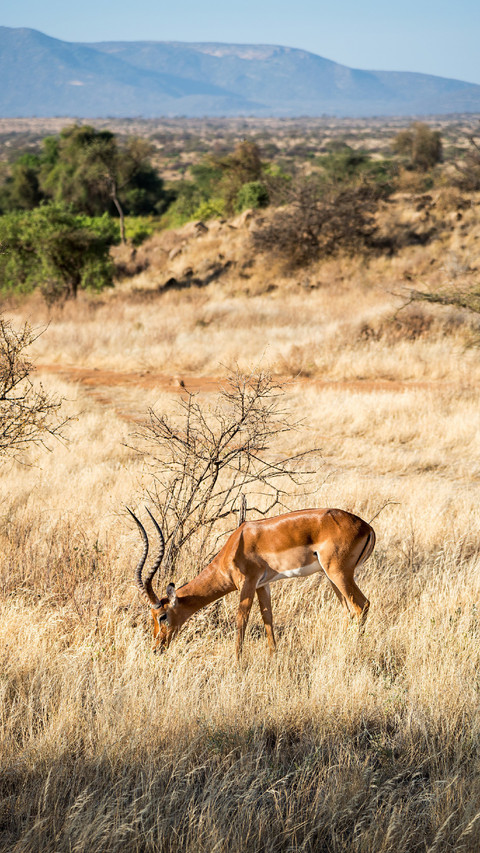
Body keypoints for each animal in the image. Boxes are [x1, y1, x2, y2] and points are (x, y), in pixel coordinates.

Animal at [128, 506, 375, 659]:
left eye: (162, 616)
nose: (156, 648)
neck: (235, 546)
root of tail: (366, 526)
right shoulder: (262, 586)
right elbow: (268, 618)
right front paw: (273, 656)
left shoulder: (246, 584)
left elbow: (241, 620)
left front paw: (237, 662)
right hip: (332, 577)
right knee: (350, 611)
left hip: (339, 574)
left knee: (361, 605)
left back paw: (355, 651)